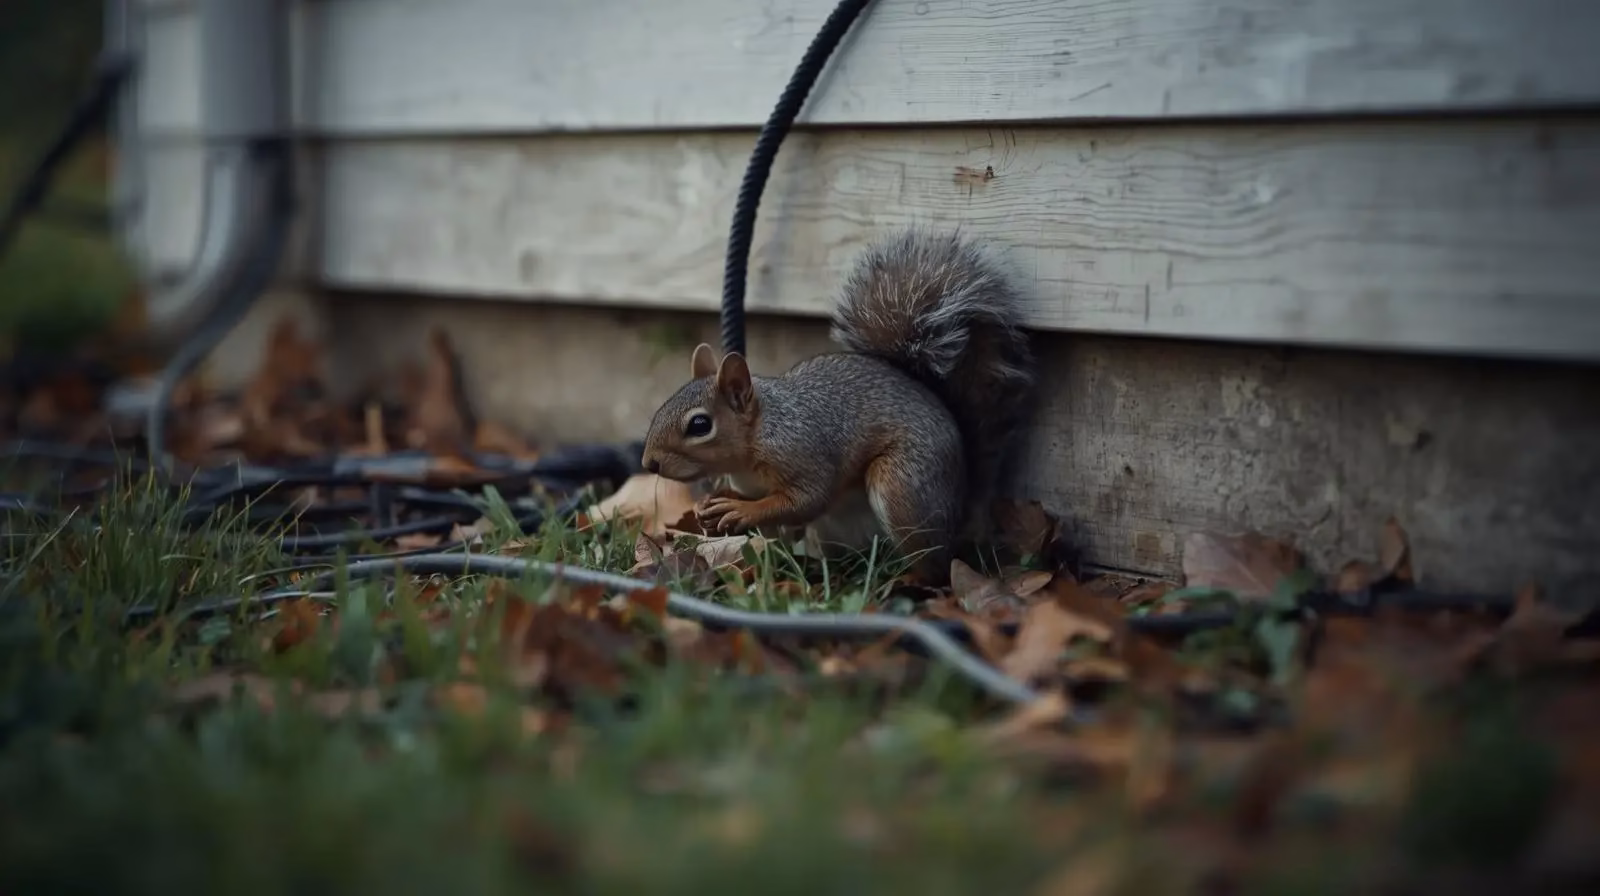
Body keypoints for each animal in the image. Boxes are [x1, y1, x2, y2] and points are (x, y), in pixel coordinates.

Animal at [638, 227, 1037, 585]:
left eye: (700, 425)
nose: (649, 463)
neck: (759, 435)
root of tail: (962, 500)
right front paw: (713, 503)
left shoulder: (803, 454)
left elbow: (806, 499)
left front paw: (741, 509)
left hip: (903, 486)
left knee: (934, 565)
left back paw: (905, 581)